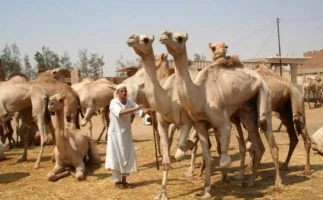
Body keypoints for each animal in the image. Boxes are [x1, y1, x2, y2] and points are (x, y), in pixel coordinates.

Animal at [161, 30, 282, 199]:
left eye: (179, 38)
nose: (164, 34)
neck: (200, 94)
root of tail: (259, 77)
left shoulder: (222, 121)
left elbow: (223, 159)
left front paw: (225, 179)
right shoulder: (199, 124)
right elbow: (207, 157)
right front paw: (205, 191)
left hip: (265, 95)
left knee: (267, 133)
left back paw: (278, 183)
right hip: (247, 112)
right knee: (258, 145)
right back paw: (250, 181)